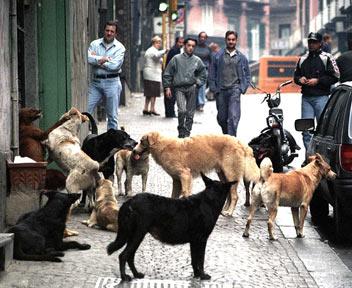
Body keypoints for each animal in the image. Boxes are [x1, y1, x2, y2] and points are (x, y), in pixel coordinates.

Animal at [106, 173, 236, 282]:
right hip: (137, 235)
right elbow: (201, 260)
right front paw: (203, 275)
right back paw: (124, 277)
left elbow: (194, 260)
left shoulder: (194, 241)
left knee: (130, 256)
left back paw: (136, 274)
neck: (210, 199)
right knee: (123, 256)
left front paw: (196, 275)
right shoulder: (202, 240)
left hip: (134, 236)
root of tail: (129, 202)